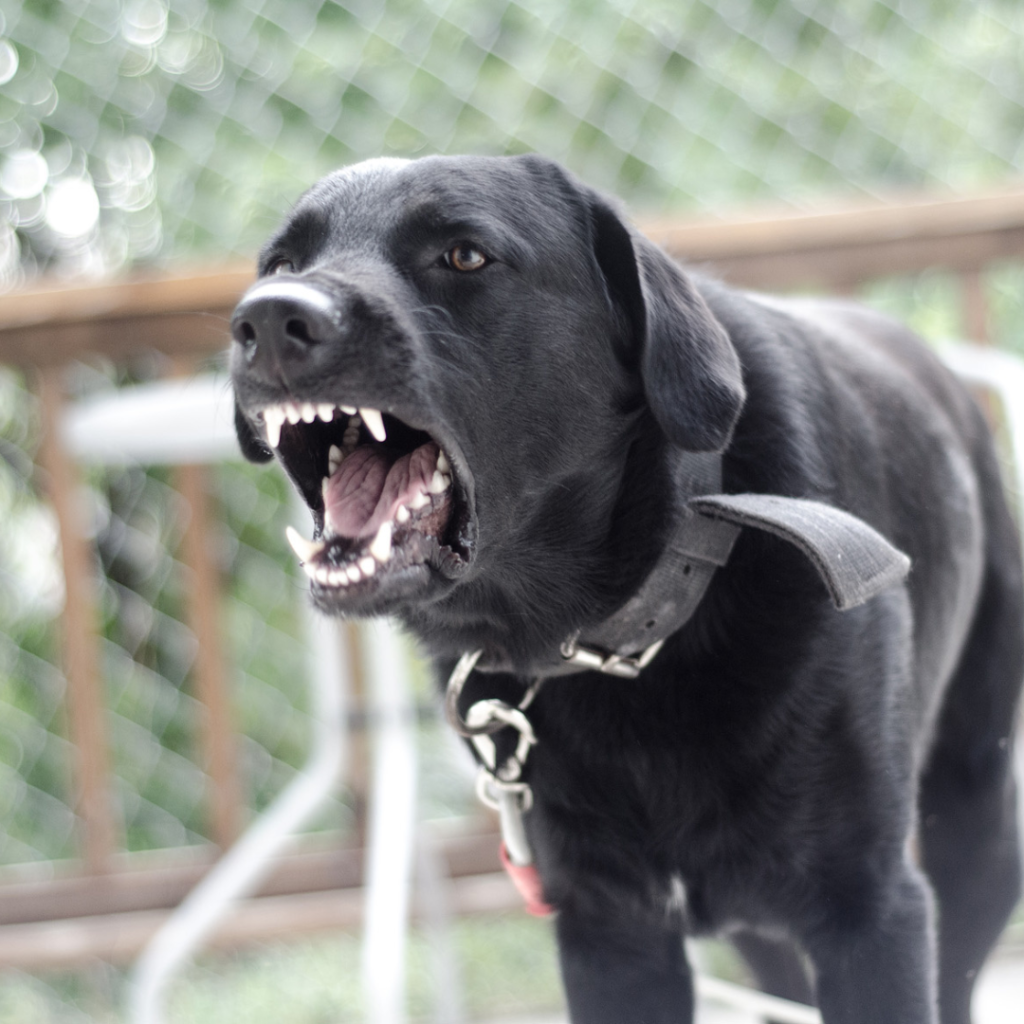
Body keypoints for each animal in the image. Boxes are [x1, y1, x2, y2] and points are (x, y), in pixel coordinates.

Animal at [232, 153, 1024, 1024]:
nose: (269, 320)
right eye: (281, 264)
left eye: (465, 255)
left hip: (976, 822)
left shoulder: (873, 912)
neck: (625, 637)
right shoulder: (609, 935)